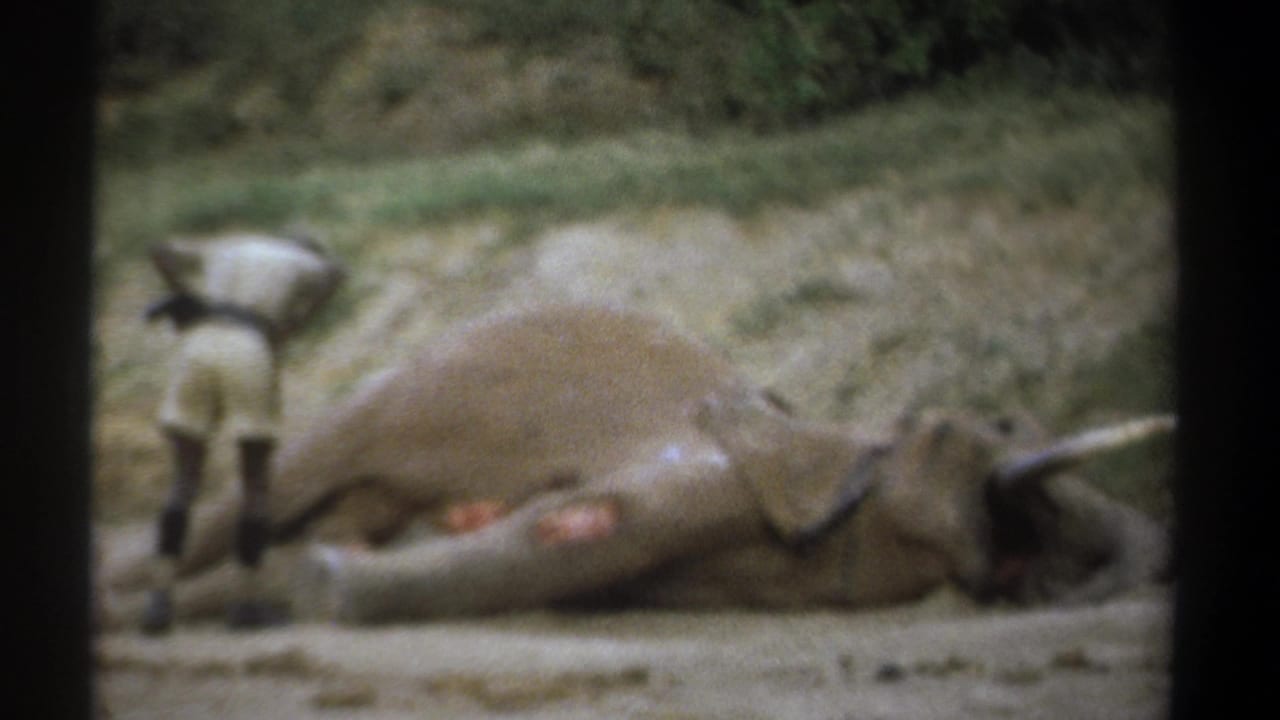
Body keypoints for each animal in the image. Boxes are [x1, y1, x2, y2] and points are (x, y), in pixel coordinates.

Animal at [99, 303, 1173, 628]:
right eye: (965, 430)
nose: (1038, 565)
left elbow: (575, 542)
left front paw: (313, 583)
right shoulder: (713, 463)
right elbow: (573, 525)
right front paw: (325, 588)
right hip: (410, 386)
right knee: (284, 474)